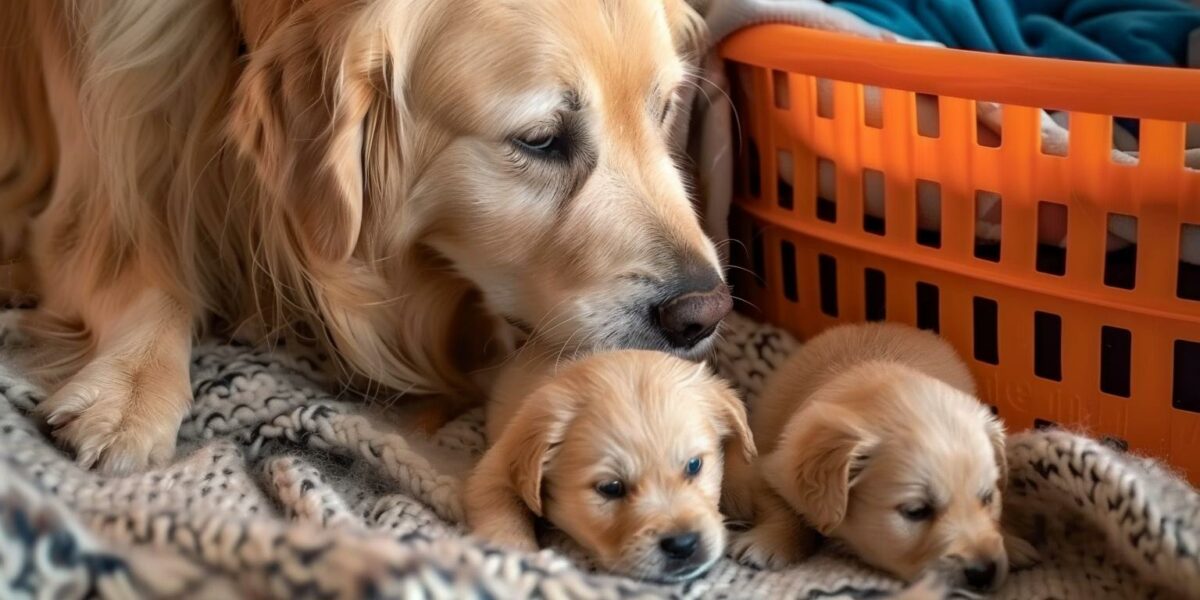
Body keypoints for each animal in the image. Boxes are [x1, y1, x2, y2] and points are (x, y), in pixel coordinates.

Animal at [463, 350, 753, 583]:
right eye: (611, 488)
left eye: (694, 465)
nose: (683, 544)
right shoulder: (495, 467)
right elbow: (502, 513)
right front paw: (516, 558)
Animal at [720, 321, 1012, 592]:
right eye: (916, 511)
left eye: (988, 497)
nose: (985, 572)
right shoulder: (769, 466)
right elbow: (781, 506)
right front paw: (767, 544)